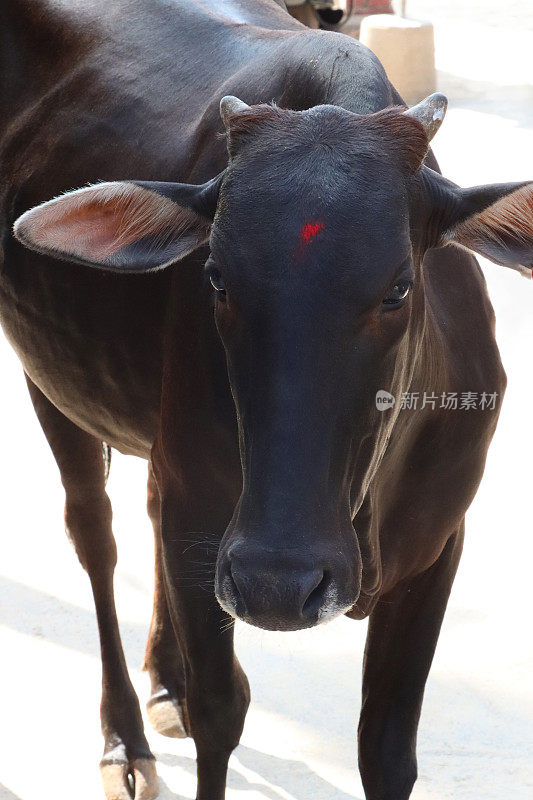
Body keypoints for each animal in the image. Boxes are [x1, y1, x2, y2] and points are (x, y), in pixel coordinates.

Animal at [2, 1, 528, 800]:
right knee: (94, 534)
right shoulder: (202, 530)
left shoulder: (439, 541)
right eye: (216, 278)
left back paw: (163, 684)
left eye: (399, 287)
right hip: (53, 381)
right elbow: (220, 713)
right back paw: (125, 736)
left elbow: (387, 751)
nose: (280, 582)